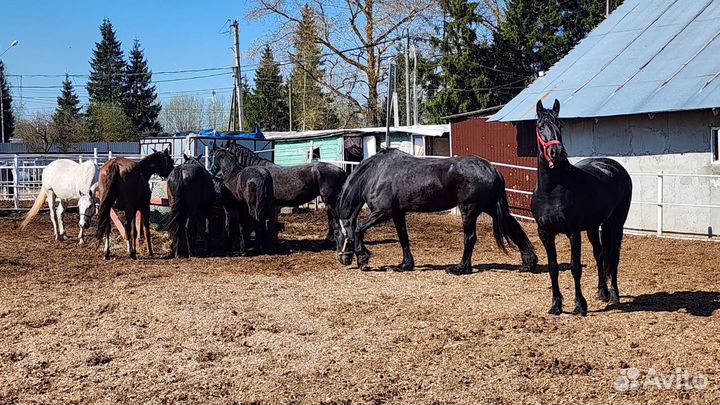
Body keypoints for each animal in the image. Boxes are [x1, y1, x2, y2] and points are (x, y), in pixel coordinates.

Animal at [334, 149, 536, 274]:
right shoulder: (398, 214)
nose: (342, 259)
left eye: (337, 234)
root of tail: (492, 168)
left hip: (469, 210)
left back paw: (460, 268)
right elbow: (403, 238)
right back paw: (529, 263)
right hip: (492, 207)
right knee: (513, 227)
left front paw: (363, 259)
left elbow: (358, 228)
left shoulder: (382, 212)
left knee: (470, 238)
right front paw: (405, 265)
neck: (376, 174)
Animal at [532, 100, 632, 316]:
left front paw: (580, 305)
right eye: (540, 126)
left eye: (560, 125)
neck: (551, 189)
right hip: (594, 227)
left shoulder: (573, 232)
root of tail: (615, 167)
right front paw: (556, 305)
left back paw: (614, 296)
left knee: (613, 256)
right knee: (600, 254)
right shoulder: (545, 233)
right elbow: (553, 268)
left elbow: (575, 267)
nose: (557, 153)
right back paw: (602, 292)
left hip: (616, 223)